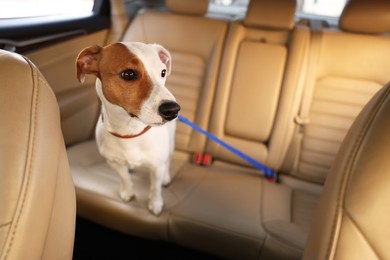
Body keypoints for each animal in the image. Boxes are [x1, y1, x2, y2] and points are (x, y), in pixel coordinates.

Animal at [75, 41, 181, 215]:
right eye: (129, 74)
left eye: (163, 72)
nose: (173, 109)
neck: (130, 131)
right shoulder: (113, 162)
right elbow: (124, 177)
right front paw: (127, 192)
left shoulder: (156, 166)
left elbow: (155, 187)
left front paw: (155, 203)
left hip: (170, 143)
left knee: (168, 160)